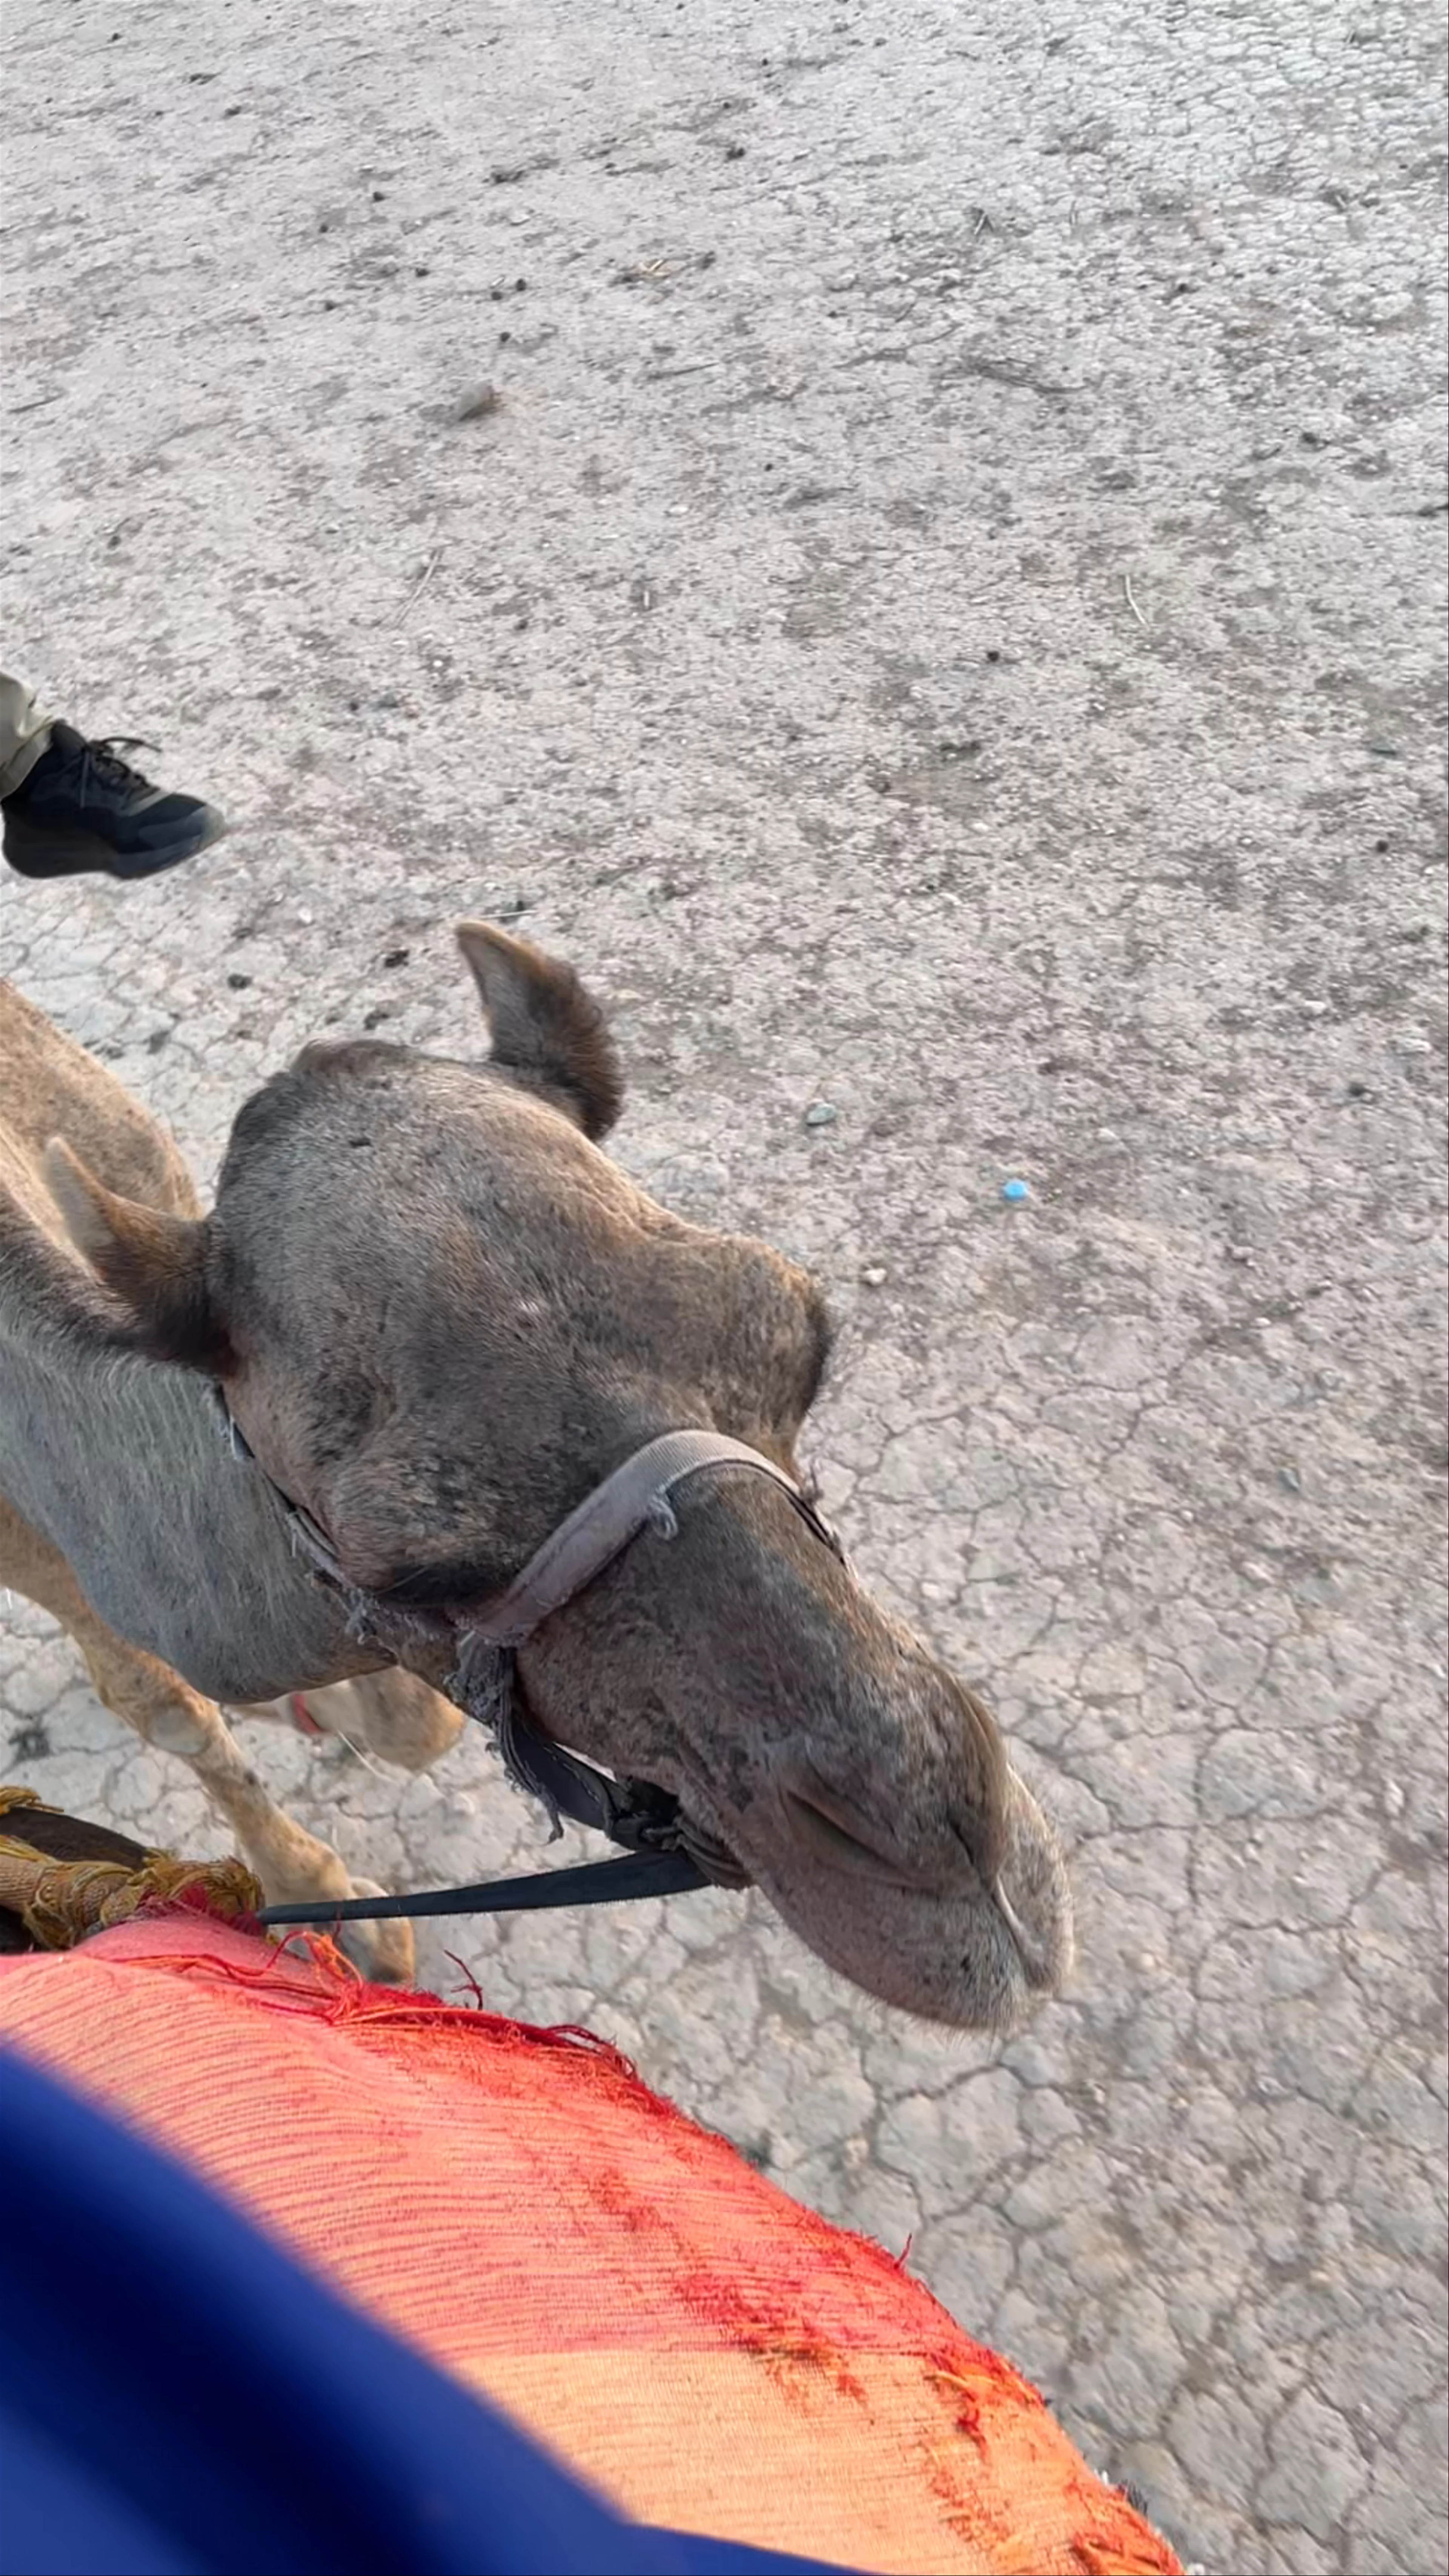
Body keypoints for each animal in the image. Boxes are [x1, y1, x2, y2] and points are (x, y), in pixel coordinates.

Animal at [0, 925, 1072, 2025]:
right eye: (414, 1573)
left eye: (804, 1345)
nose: (964, 1862)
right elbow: (164, 1700)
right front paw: (326, 1901)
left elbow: (406, 1716)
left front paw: (314, 1722)